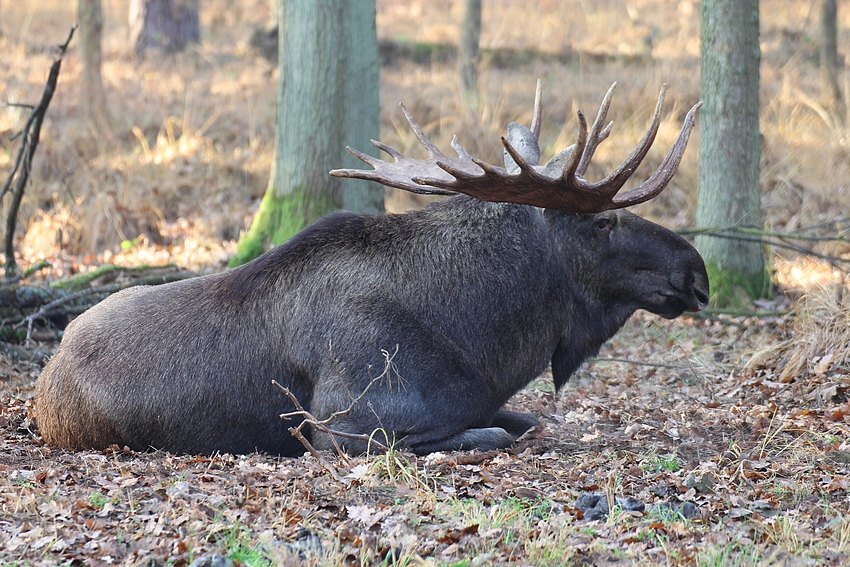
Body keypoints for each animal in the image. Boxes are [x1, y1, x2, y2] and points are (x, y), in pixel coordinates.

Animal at [36, 83, 704, 458]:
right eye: (602, 222)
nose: (695, 270)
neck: (483, 341)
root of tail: (46, 376)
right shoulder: (346, 428)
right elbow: (495, 437)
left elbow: (528, 419)